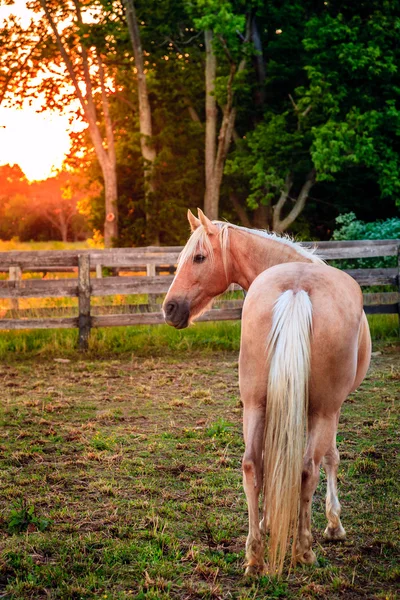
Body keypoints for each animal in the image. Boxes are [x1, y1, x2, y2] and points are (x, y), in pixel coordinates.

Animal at [161, 207, 370, 576]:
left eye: (199, 257)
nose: (169, 309)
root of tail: (297, 288)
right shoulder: (332, 408)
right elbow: (330, 456)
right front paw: (334, 525)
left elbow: (274, 461)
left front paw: (268, 522)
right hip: (323, 409)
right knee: (307, 468)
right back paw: (303, 551)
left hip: (255, 404)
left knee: (251, 465)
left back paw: (255, 555)